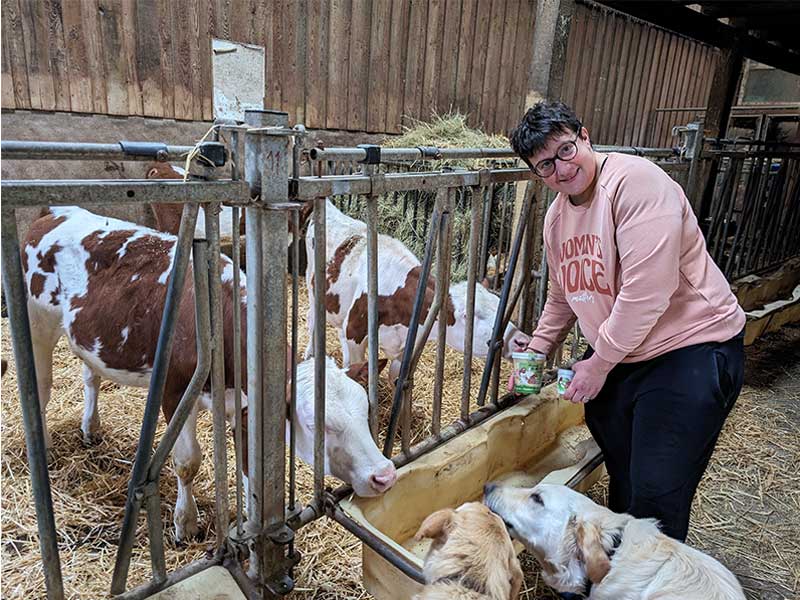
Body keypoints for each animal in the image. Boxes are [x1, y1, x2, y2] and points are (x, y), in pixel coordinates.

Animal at [23, 206, 398, 540]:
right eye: (316, 425)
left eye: (365, 410)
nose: (384, 476)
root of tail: (54, 213)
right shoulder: (174, 393)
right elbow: (187, 462)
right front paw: (185, 523)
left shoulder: (245, 404)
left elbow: (249, 466)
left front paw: (251, 527)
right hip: (37, 320)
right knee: (41, 387)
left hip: (89, 334)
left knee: (91, 375)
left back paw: (91, 427)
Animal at [302, 199, 532, 382]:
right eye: (468, 314)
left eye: (499, 303)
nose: (521, 340)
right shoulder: (353, 335)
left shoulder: (406, 350)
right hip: (312, 288)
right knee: (312, 319)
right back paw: (309, 354)